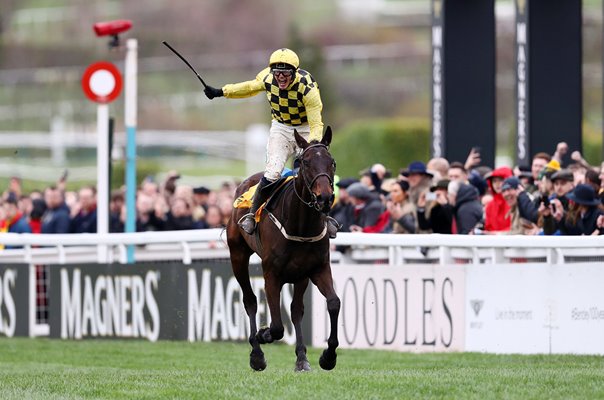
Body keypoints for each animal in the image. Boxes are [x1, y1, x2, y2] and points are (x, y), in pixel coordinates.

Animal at [226, 127, 340, 372]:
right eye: (305, 162)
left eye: (332, 162)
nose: (325, 198)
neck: (300, 224)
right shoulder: (272, 274)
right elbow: (277, 326)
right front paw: (262, 334)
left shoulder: (316, 268)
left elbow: (333, 303)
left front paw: (327, 357)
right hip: (237, 255)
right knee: (250, 301)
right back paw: (256, 354)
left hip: (300, 276)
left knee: (296, 310)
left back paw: (301, 358)